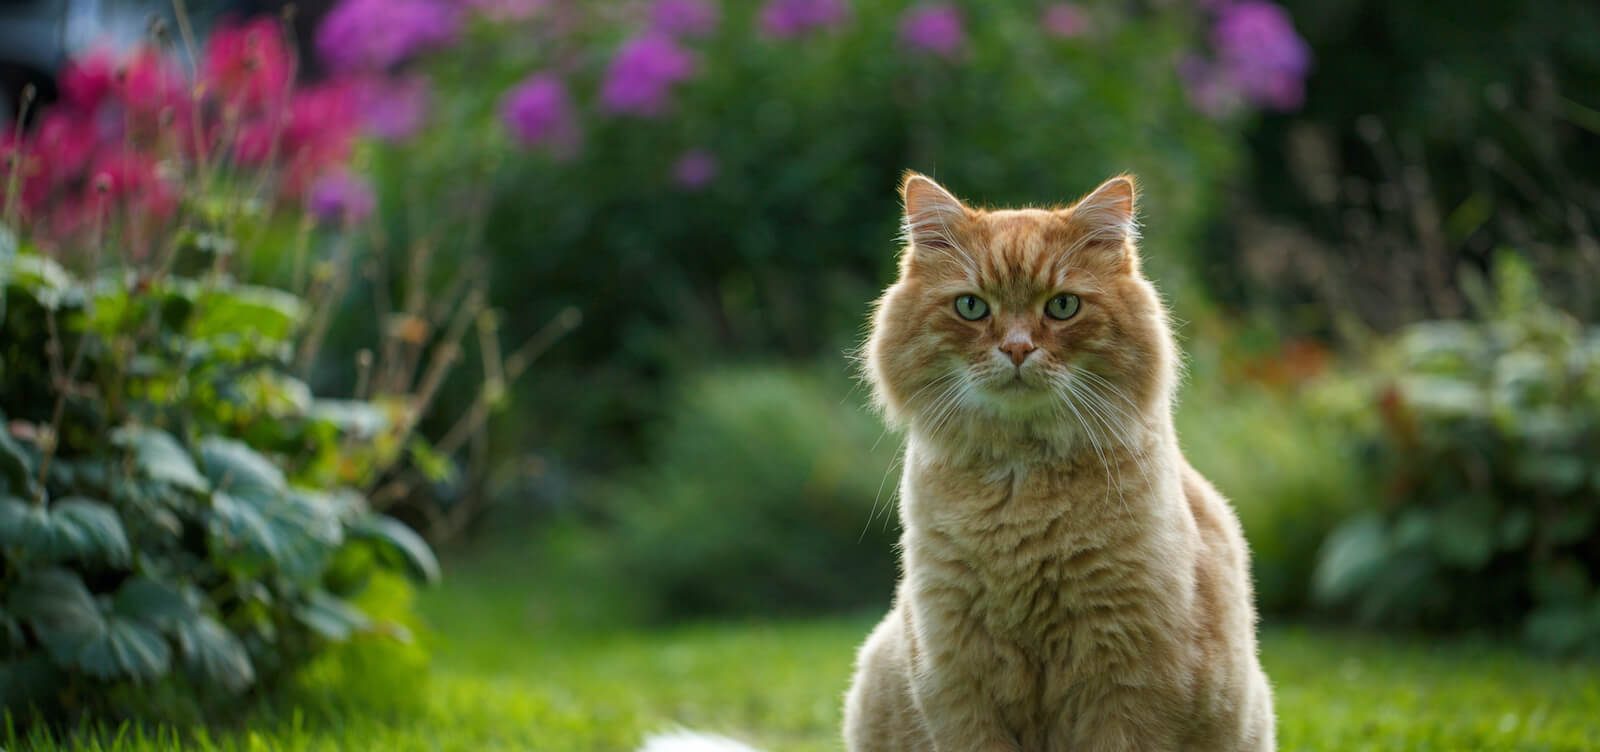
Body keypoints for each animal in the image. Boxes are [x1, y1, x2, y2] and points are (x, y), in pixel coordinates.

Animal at [838, 173, 1273, 748]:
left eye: (1063, 306)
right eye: (972, 307)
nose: (1017, 349)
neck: (1020, 482)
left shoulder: (1125, 681)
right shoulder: (958, 678)